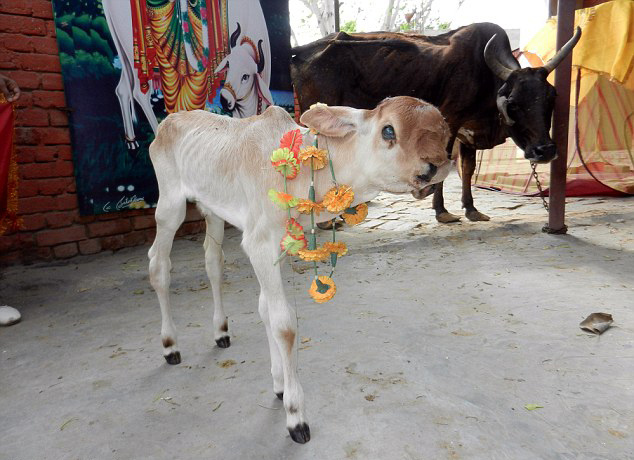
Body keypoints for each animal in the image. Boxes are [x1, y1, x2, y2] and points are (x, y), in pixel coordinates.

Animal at [146, 96, 452, 442]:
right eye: (389, 130)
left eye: (444, 132)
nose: (437, 166)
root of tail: (169, 121)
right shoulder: (259, 242)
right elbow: (284, 324)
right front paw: (295, 413)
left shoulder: (279, 244)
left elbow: (265, 309)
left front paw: (279, 384)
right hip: (170, 205)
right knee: (158, 265)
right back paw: (170, 346)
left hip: (212, 211)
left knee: (213, 261)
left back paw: (221, 331)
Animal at [290, 22, 576, 223]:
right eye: (514, 102)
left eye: (551, 97)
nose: (544, 150)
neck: (485, 77)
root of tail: (299, 53)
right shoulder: (450, 122)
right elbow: (443, 167)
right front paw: (442, 211)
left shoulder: (467, 133)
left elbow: (468, 169)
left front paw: (471, 208)